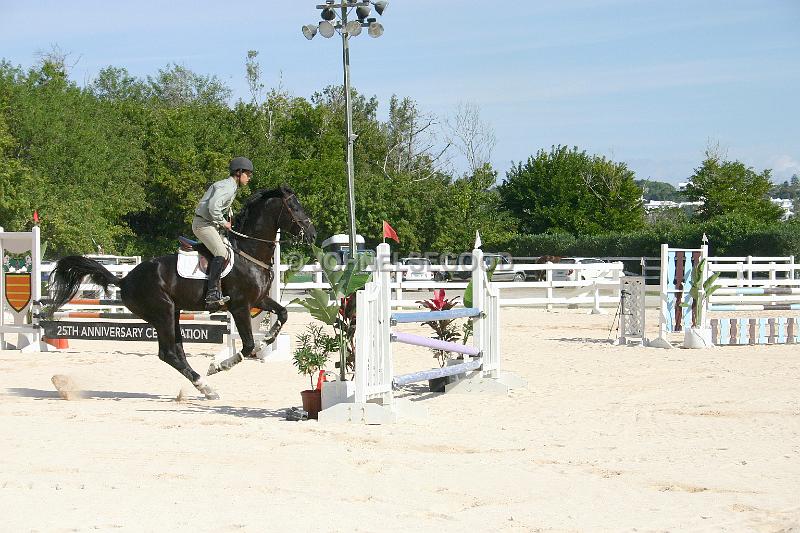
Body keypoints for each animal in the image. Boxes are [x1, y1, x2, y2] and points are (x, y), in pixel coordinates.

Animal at [44, 185, 316, 396]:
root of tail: (126, 280)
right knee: (168, 353)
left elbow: (282, 315)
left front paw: (267, 340)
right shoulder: (240, 306)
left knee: (178, 352)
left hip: (173, 313)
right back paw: (205, 384)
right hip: (163, 312)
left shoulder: (258, 300)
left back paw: (205, 387)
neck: (249, 252)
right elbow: (247, 346)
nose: (312, 234)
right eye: (295, 207)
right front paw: (221, 366)